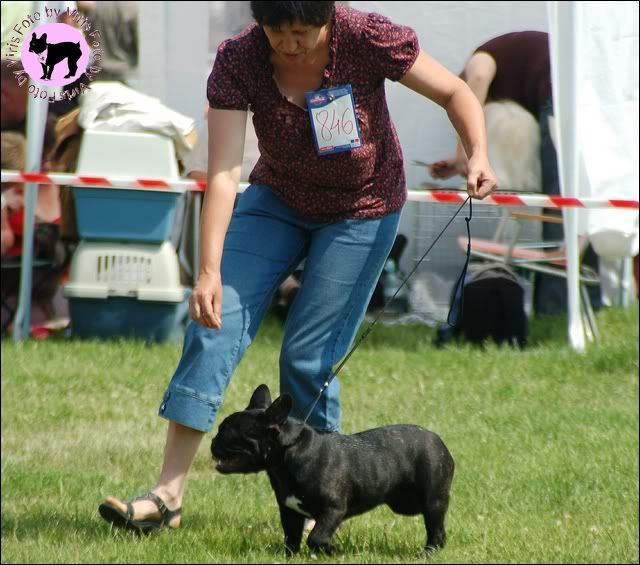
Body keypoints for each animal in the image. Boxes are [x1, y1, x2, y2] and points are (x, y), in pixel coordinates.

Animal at [210, 384, 455, 556]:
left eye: (227, 432)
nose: (213, 439)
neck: (289, 453)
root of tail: (439, 441)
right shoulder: (289, 511)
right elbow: (291, 538)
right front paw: (289, 556)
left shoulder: (333, 510)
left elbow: (316, 538)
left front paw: (333, 550)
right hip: (404, 503)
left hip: (432, 500)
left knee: (437, 530)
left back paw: (427, 553)